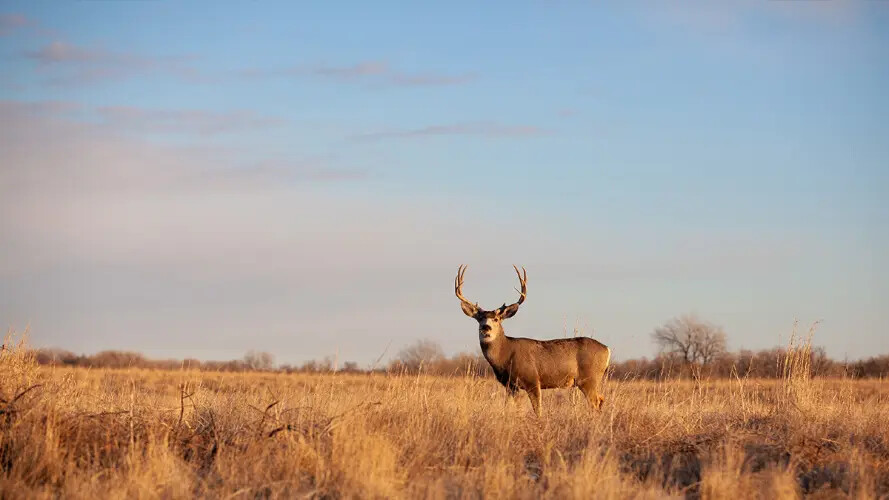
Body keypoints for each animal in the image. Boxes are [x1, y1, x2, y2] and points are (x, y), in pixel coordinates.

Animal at [450, 266, 612, 418]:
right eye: (479, 319)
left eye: (496, 319)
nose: (485, 327)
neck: (506, 355)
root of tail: (607, 349)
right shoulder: (510, 385)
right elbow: (512, 408)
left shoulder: (532, 379)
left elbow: (537, 410)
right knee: (601, 400)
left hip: (589, 379)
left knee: (595, 402)